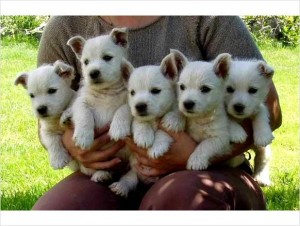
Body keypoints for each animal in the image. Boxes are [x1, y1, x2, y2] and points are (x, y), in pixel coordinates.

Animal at [68, 27, 131, 182]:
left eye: (107, 57)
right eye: (86, 62)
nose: (93, 73)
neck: (106, 91)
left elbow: (123, 108)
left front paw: (118, 128)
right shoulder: (81, 102)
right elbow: (84, 115)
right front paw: (83, 136)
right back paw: (101, 174)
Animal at [108, 52, 183, 197]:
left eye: (155, 91)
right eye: (132, 92)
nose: (140, 106)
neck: (154, 118)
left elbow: (164, 129)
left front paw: (157, 146)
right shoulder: (136, 117)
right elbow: (140, 122)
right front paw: (143, 136)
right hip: (134, 171)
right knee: (129, 179)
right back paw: (121, 187)